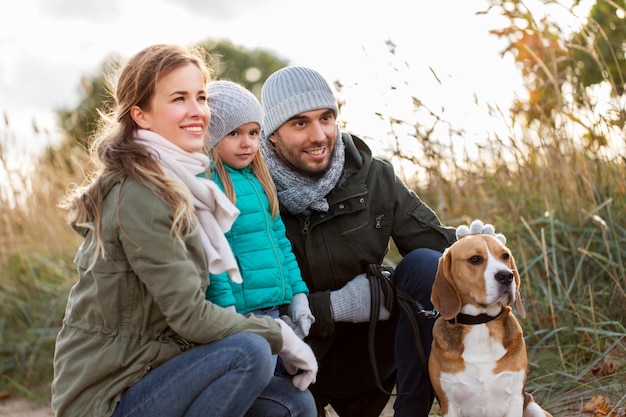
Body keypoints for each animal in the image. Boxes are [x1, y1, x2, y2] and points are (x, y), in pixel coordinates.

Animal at [426, 224, 548, 416]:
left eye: (505, 256)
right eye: (475, 259)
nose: (506, 276)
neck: (480, 324)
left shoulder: (515, 398)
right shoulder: (449, 404)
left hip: (535, 408)